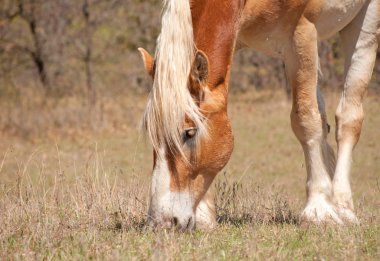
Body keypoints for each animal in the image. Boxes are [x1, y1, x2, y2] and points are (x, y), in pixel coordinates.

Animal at [138, 0, 378, 228]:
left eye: (189, 133)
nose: (161, 222)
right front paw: (204, 216)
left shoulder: (302, 33)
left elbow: (306, 120)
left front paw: (318, 212)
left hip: (362, 27)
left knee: (347, 119)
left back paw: (342, 206)